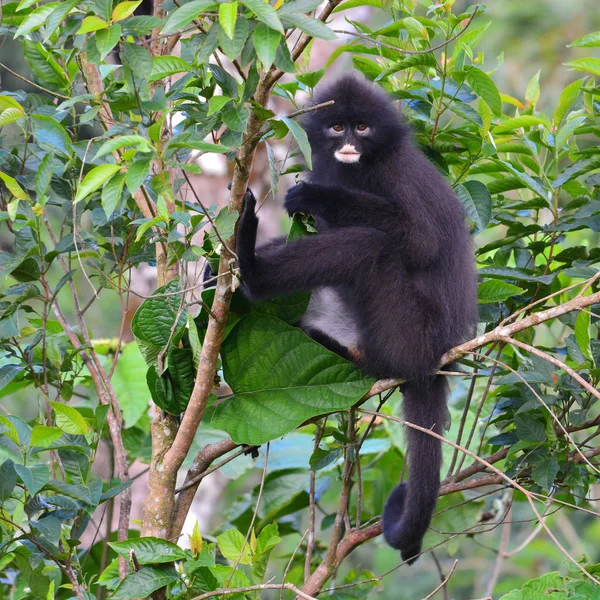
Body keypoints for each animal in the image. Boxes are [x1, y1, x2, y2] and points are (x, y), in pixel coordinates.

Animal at [237, 74, 476, 564]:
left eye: (362, 127)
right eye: (338, 126)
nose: (348, 143)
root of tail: (439, 357)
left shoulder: (394, 174)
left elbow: (421, 242)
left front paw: (316, 196)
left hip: (405, 332)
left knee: (372, 245)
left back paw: (252, 272)